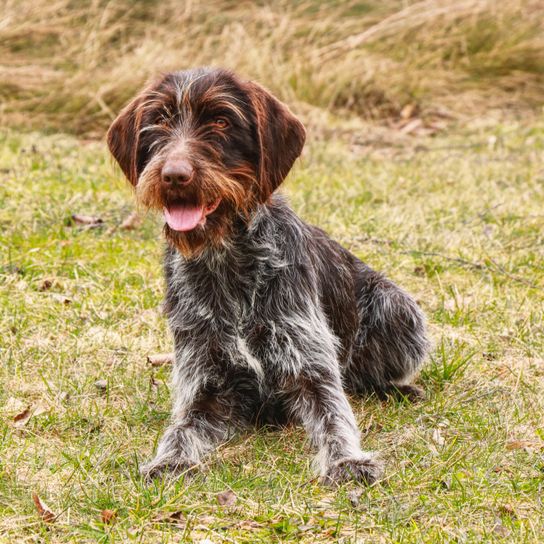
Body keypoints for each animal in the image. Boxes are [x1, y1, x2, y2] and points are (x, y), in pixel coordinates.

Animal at [106, 68, 430, 484]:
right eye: (160, 120)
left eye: (221, 121)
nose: (174, 175)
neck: (226, 260)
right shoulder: (206, 380)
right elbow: (180, 428)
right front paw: (170, 461)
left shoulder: (309, 363)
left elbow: (333, 415)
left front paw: (346, 460)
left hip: (398, 309)